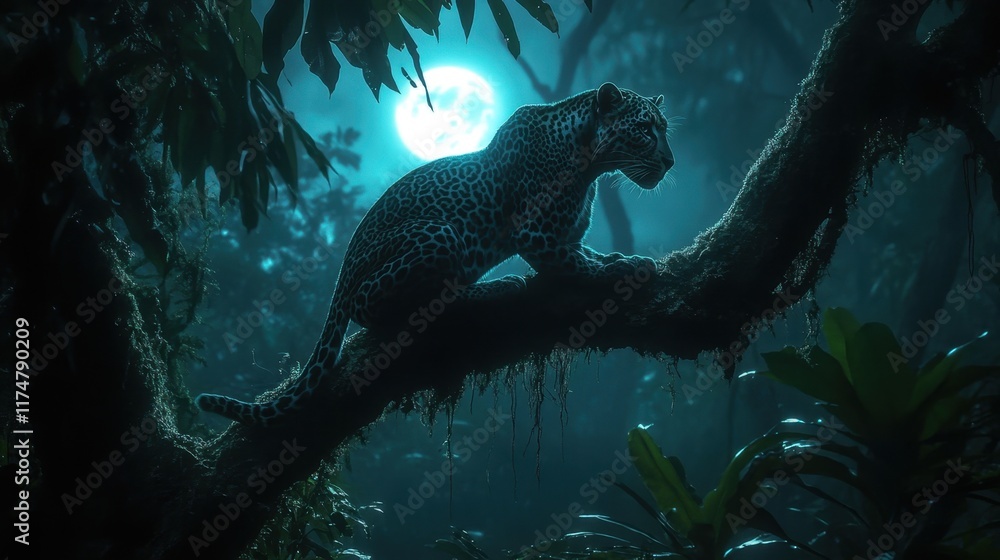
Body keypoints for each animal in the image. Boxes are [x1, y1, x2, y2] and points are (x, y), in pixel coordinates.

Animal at [195, 82, 674, 426]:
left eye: (664, 129)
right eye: (644, 129)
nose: (670, 162)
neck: (590, 160)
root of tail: (341, 277)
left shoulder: (564, 237)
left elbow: (588, 254)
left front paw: (617, 259)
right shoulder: (536, 235)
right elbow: (578, 267)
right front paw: (628, 268)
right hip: (437, 234)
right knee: (407, 307)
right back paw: (499, 286)